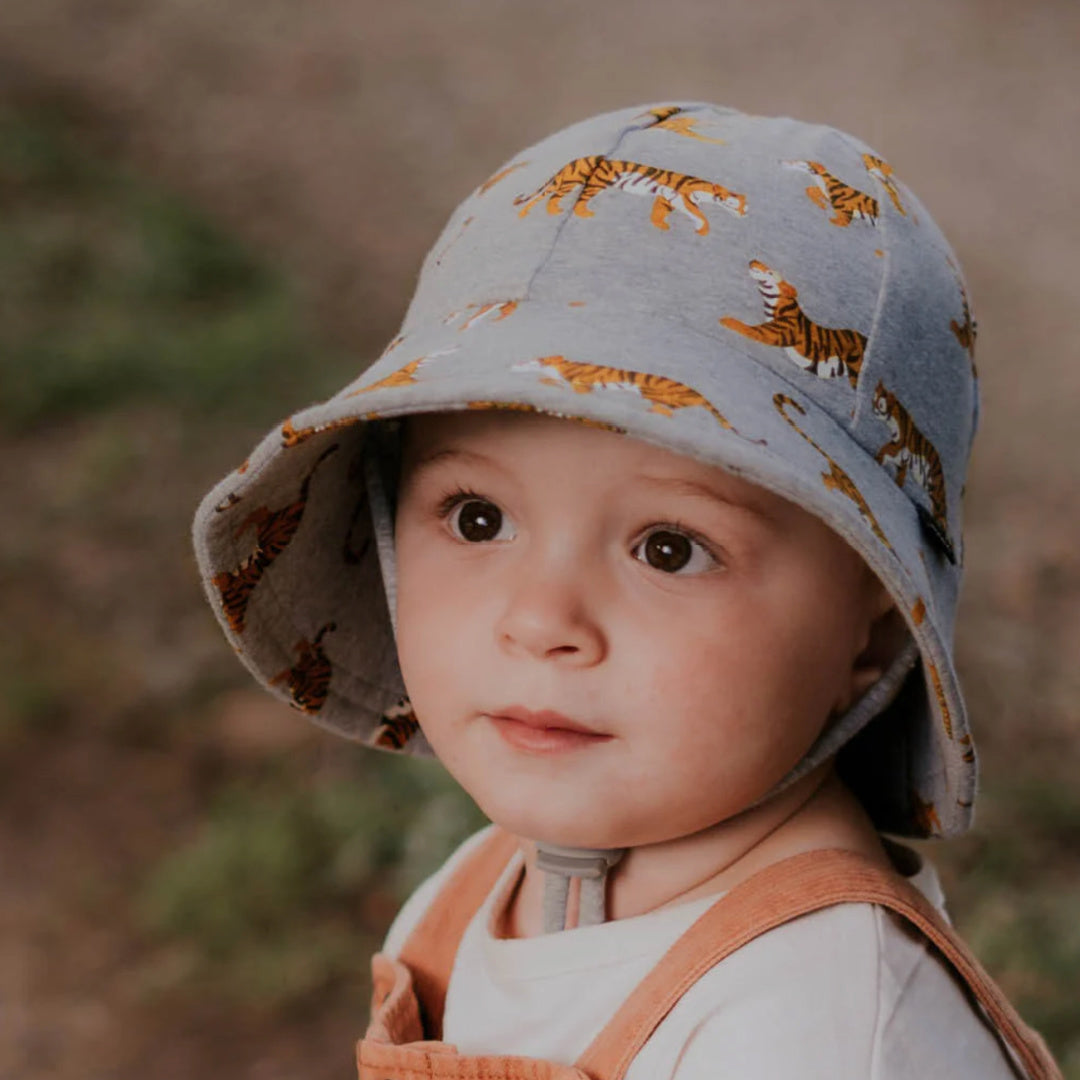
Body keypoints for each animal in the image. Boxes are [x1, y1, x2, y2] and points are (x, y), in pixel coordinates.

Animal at [512, 355, 736, 430]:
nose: (512, 364)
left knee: (666, 411)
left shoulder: (581, 383)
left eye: (528, 361)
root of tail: (698, 394)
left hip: (653, 393)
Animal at [513, 155, 747, 236]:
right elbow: (698, 213)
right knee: (562, 199)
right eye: (735, 202)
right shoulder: (680, 195)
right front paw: (702, 228)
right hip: (589, 182)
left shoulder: (667, 198)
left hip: (570, 182)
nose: (746, 212)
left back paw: (525, 213)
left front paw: (661, 225)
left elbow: (661, 212)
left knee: (543, 195)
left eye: (746, 205)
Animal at [871, 380, 950, 544]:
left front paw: (878, 459)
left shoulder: (899, 445)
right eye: (873, 399)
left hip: (936, 491)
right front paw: (897, 484)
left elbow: (886, 451)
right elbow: (899, 474)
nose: (873, 408)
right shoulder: (902, 459)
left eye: (880, 404)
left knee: (941, 513)